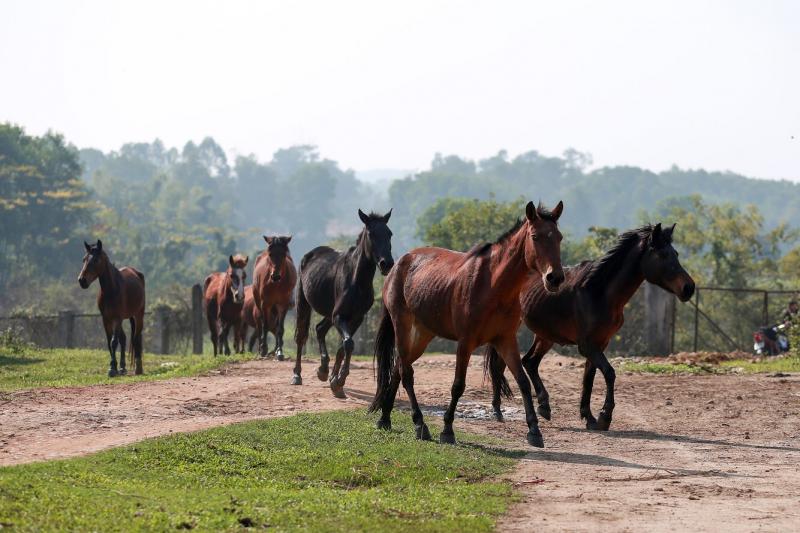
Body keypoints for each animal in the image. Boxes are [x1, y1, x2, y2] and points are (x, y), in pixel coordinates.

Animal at [79, 239, 147, 376]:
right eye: (84, 259)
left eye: (96, 260)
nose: (82, 280)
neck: (111, 290)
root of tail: (136, 273)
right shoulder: (106, 319)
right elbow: (109, 342)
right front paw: (113, 367)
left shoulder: (117, 318)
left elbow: (114, 341)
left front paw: (112, 369)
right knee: (124, 338)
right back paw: (123, 367)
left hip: (138, 315)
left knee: (136, 338)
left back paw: (138, 368)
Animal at [294, 210, 394, 396]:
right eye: (371, 234)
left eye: (389, 234)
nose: (387, 263)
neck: (356, 281)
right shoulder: (340, 317)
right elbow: (348, 343)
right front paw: (339, 380)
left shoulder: (356, 318)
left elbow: (343, 347)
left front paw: (335, 381)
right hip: (304, 304)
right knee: (301, 336)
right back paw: (297, 375)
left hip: (329, 313)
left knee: (320, 329)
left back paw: (323, 370)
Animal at [368, 202, 564, 446]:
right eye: (535, 236)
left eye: (559, 237)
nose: (555, 278)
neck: (492, 285)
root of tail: (398, 265)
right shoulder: (465, 342)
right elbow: (458, 385)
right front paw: (447, 430)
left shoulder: (505, 340)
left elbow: (523, 382)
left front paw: (535, 431)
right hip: (402, 326)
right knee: (406, 373)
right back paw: (420, 424)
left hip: (422, 334)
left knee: (398, 369)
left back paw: (385, 418)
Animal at [484, 222, 696, 430]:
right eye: (663, 255)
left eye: (676, 254)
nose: (689, 288)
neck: (598, 292)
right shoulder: (587, 346)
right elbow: (609, 373)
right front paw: (604, 417)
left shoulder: (599, 344)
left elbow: (589, 378)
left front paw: (589, 417)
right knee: (501, 365)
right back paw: (498, 410)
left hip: (545, 335)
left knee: (529, 362)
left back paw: (544, 406)